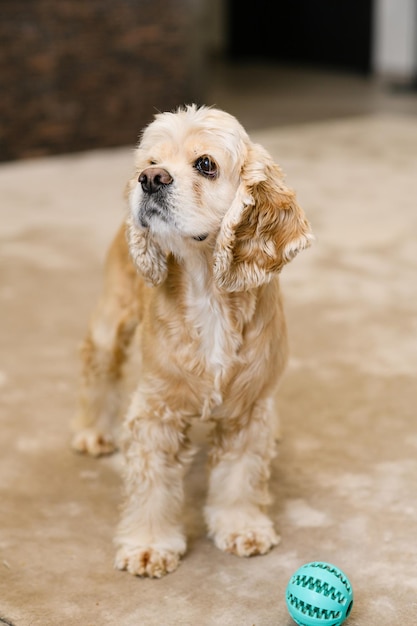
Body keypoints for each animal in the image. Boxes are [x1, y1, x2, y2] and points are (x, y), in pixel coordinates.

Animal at [71, 102, 312, 576]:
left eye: (206, 164)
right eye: (151, 161)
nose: (149, 179)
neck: (208, 292)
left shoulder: (247, 410)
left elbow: (240, 475)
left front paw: (242, 528)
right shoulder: (156, 410)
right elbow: (151, 487)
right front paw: (148, 546)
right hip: (112, 317)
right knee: (97, 363)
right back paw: (93, 432)